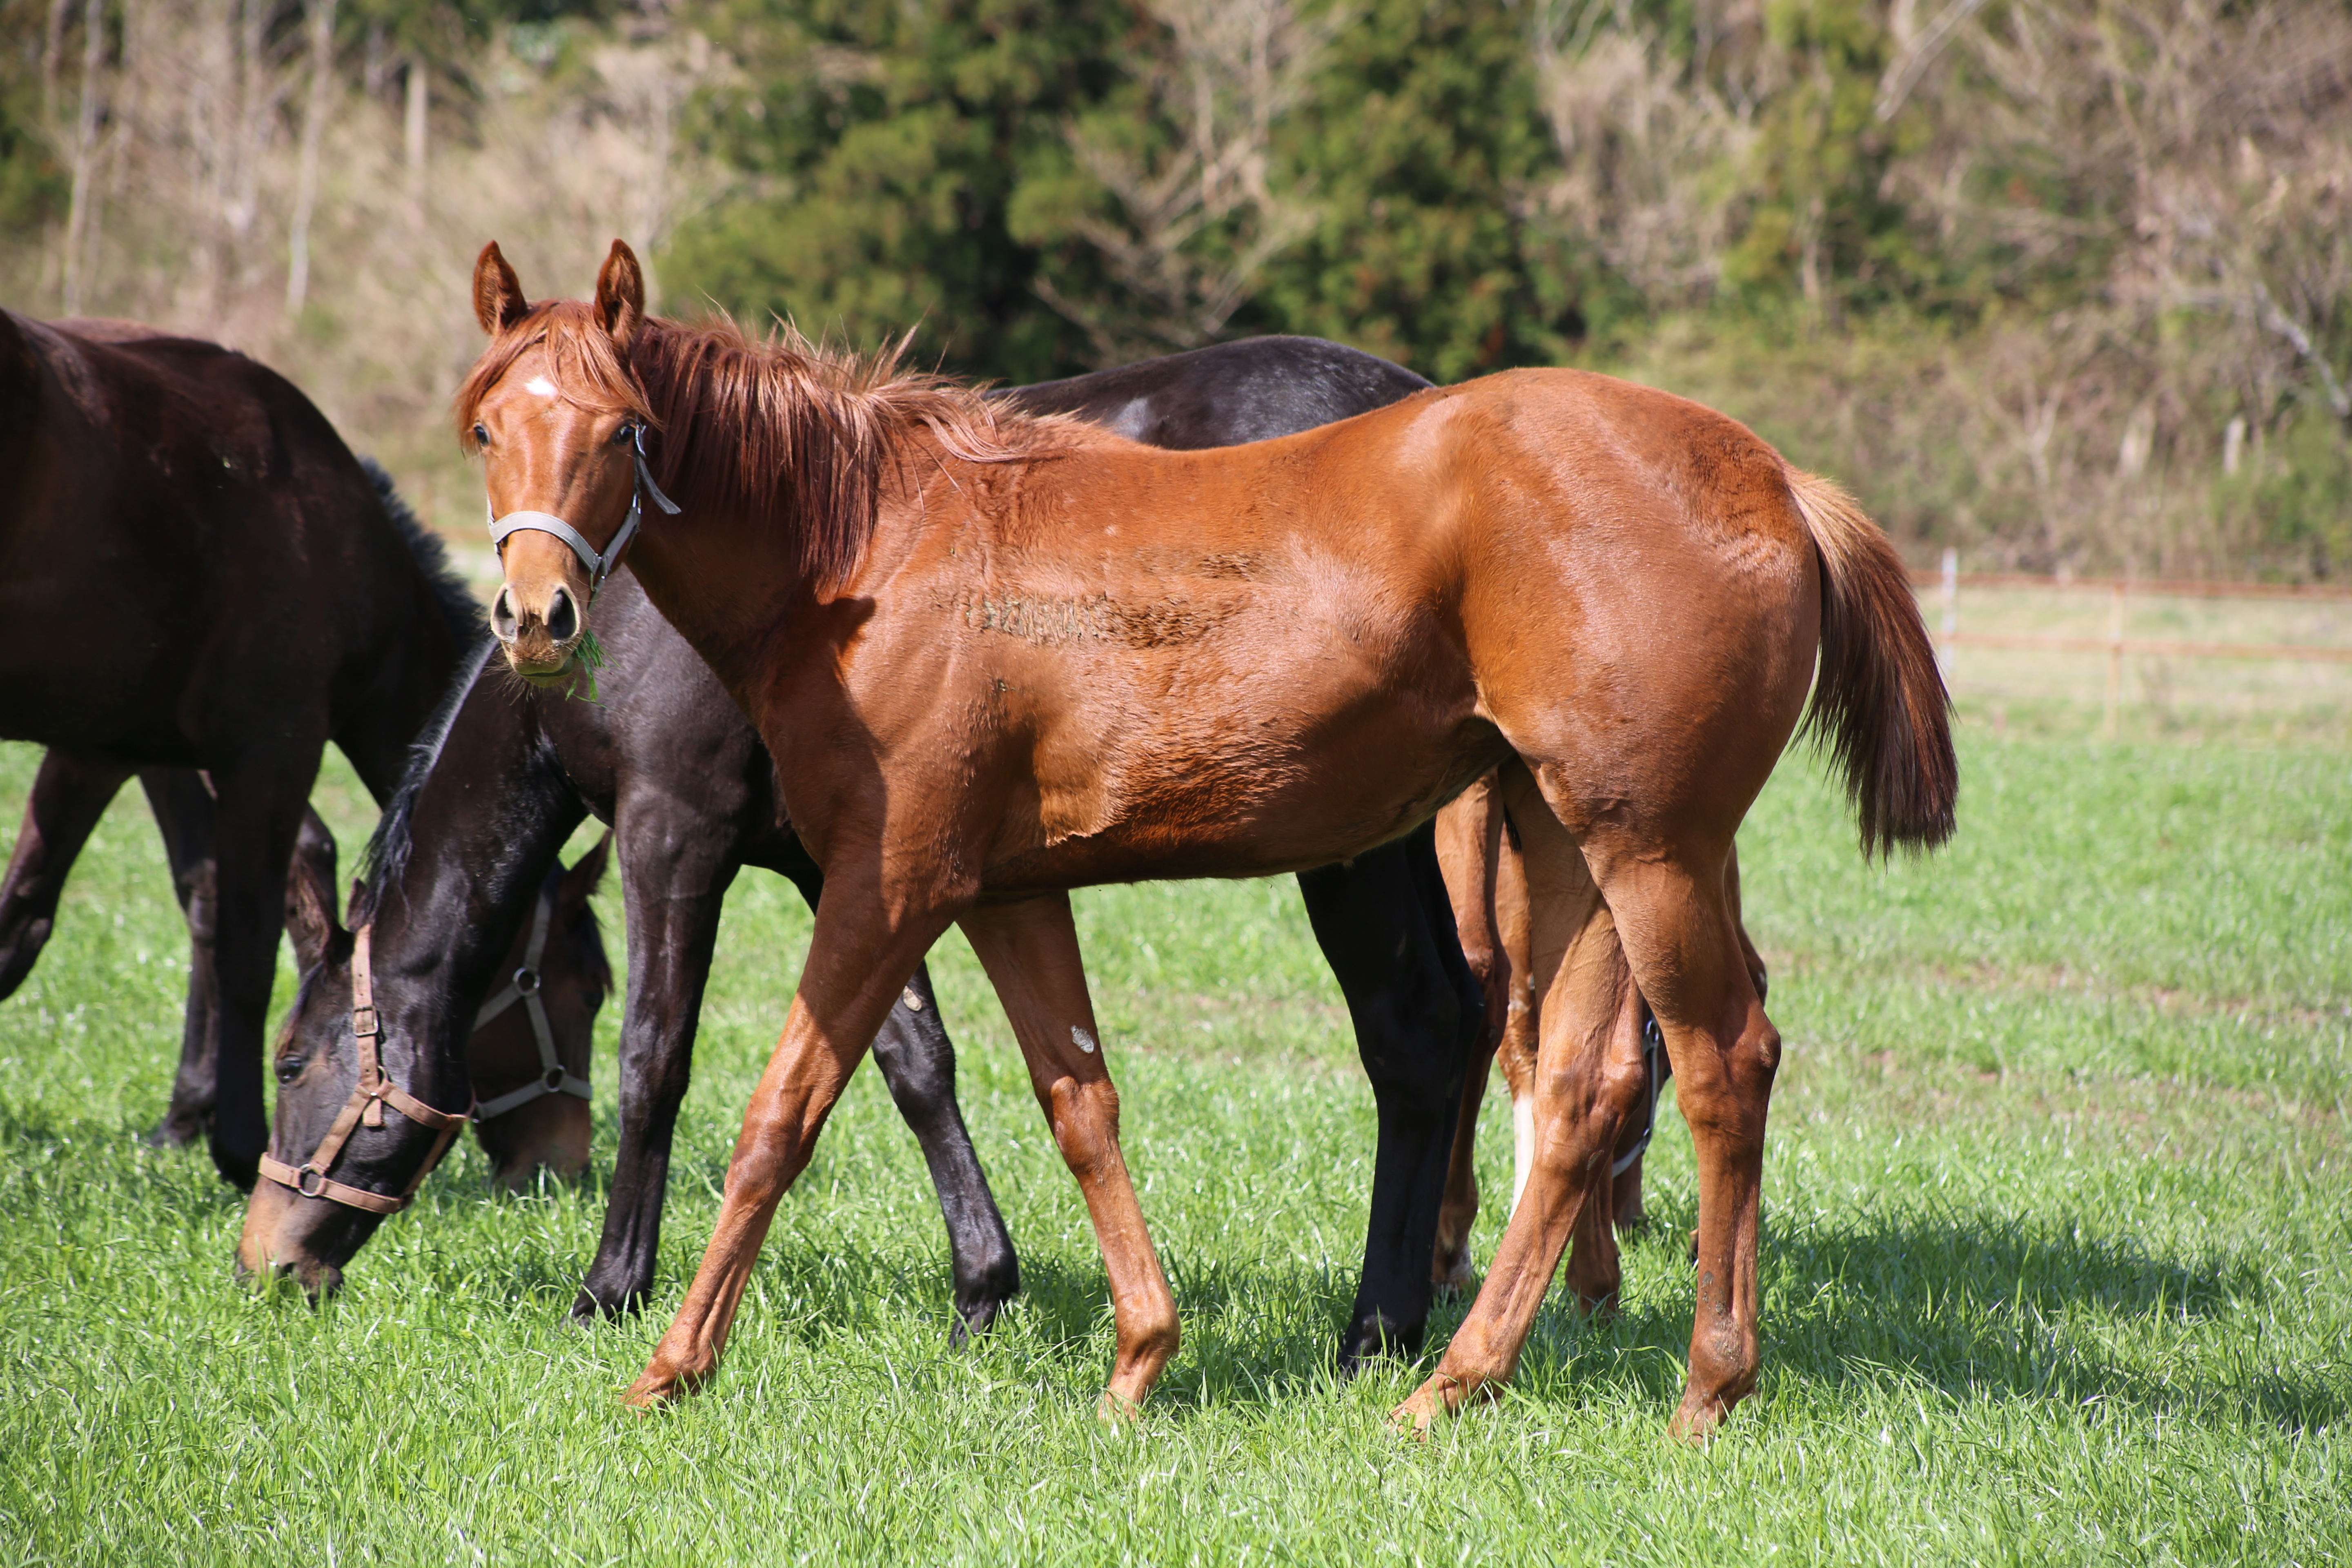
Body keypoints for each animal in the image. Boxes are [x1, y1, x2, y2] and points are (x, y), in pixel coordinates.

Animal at [0, 312, 477, 1185]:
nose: (555, 1166)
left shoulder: (104, 747)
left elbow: (26, 916)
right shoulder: (270, 744)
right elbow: (249, 944)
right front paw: (238, 1143)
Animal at [454, 242, 1947, 1439]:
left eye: (624, 429)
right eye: (484, 429)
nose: (536, 617)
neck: (874, 549)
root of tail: (1770, 477)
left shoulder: (881, 884)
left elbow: (777, 1111)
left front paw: (666, 1357)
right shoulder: (1005, 892)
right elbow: (1080, 1102)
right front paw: (1139, 1356)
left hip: (1651, 852)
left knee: (1717, 1065)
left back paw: (1704, 1384)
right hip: (1566, 845)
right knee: (1578, 1090)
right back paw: (1450, 1382)